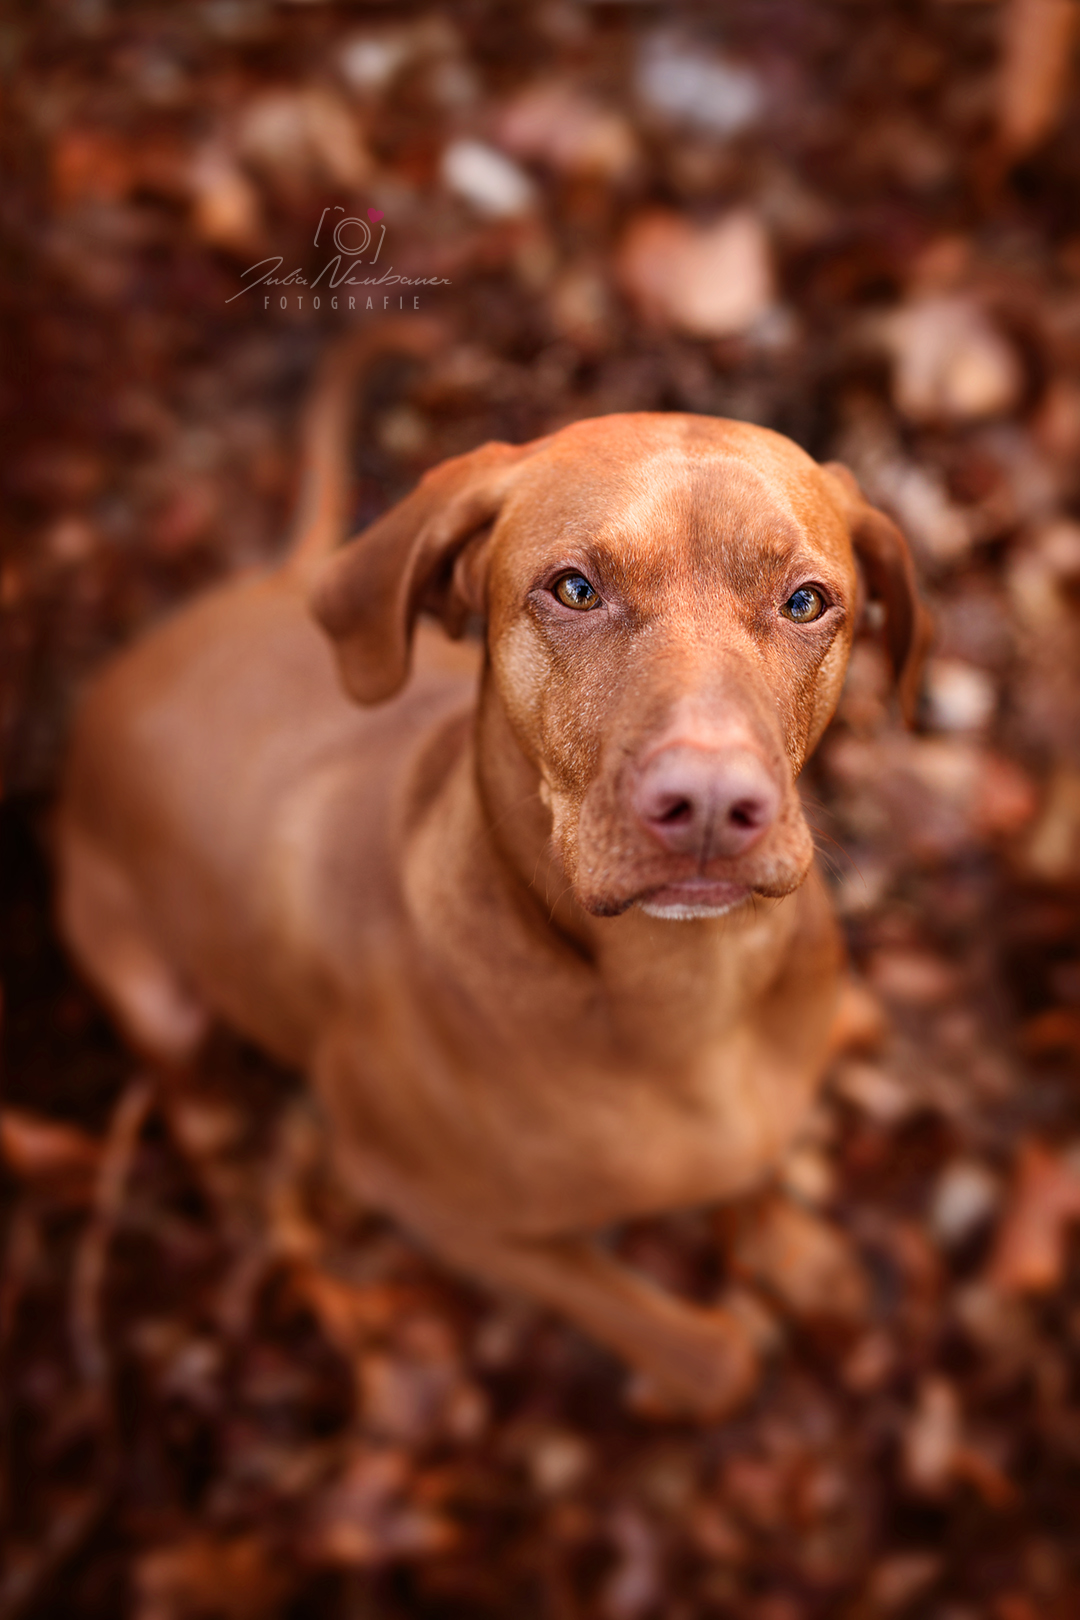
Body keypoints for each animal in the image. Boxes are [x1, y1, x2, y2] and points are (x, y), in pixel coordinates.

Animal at [55, 332, 932, 1419]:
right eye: (575, 589)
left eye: (807, 602)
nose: (710, 804)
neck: (687, 995)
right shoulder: (423, 1197)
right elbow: (696, 1348)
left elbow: (760, 1169)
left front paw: (806, 1258)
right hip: (157, 993)